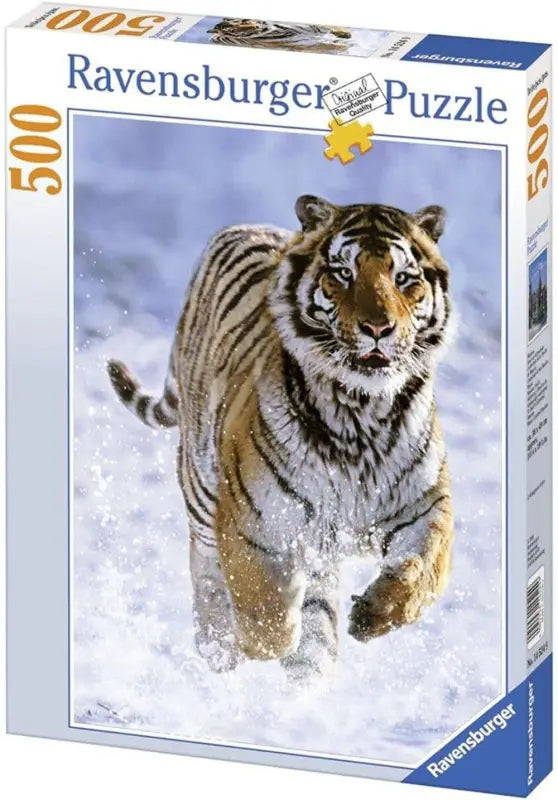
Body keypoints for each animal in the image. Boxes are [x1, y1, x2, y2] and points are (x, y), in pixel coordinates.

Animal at [107, 195, 454, 683]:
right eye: (343, 273)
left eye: (404, 278)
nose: (378, 329)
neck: (361, 412)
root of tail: (241, 226)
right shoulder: (253, 522)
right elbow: (265, 616)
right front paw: (265, 636)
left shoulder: (424, 506)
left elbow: (425, 570)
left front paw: (372, 615)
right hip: (202, 491)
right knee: (207, 576)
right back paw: (220, 650)